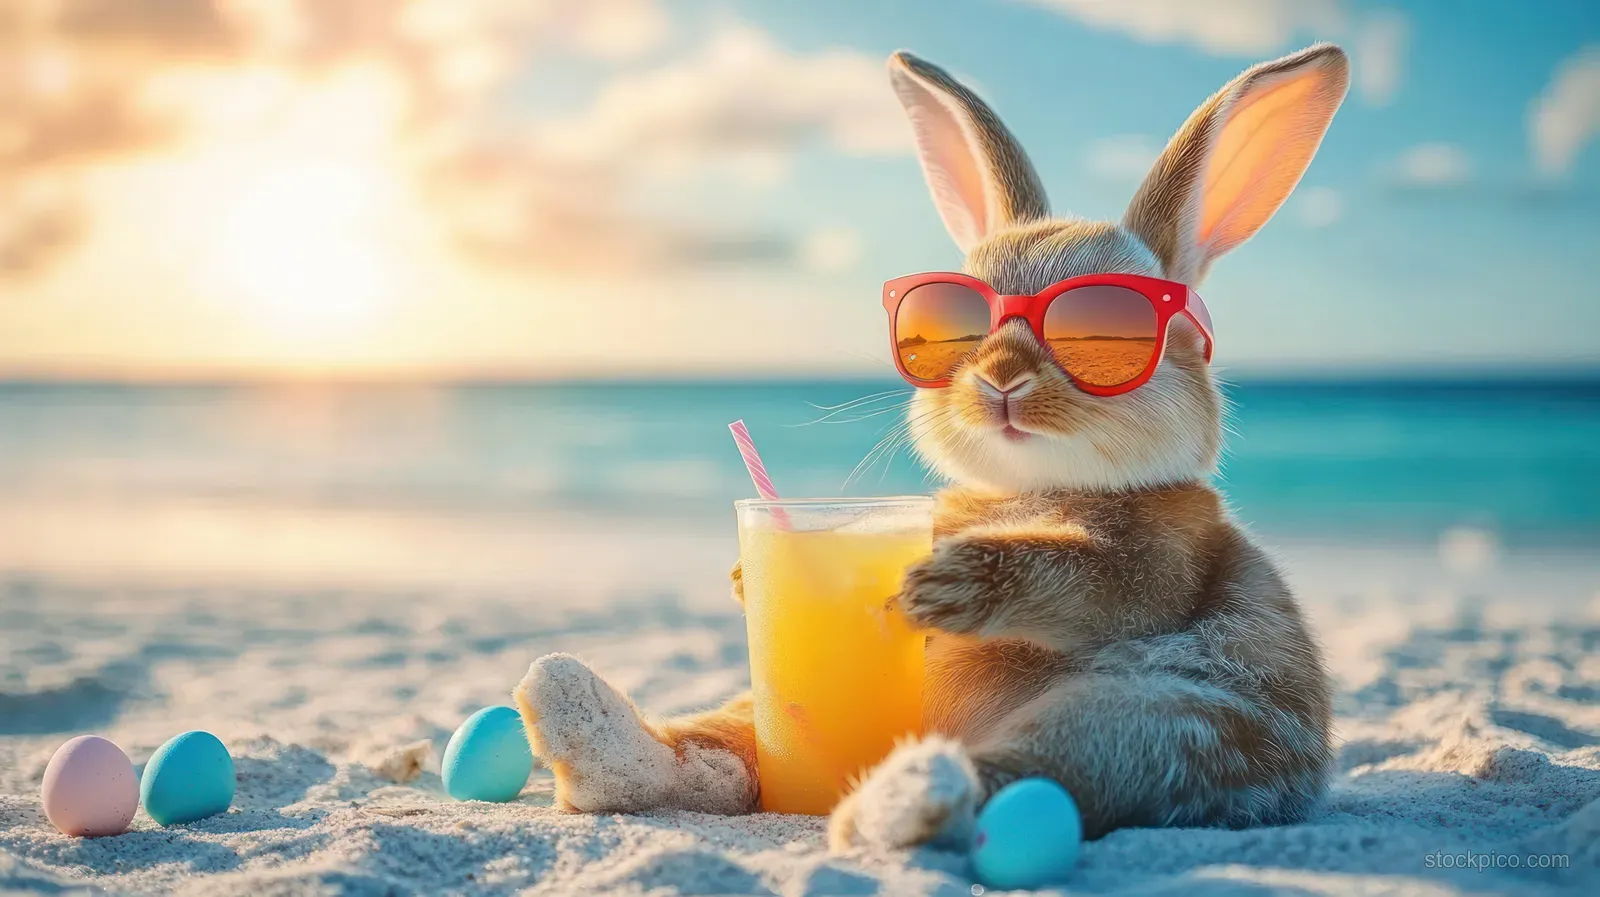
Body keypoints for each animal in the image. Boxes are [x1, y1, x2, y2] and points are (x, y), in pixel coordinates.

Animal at [513, 42, 1348, 850]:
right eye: (959, 324)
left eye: (1104, 329)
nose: (1000, 377)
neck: (1029, 487)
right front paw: (748, 579)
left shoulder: (1161, 556)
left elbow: (1097, 581)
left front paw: (944, 586)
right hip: (767, 707)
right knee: (716, 750)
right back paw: (580, 717)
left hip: (1157, 722)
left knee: (1032, 768)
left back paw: (900, 797)